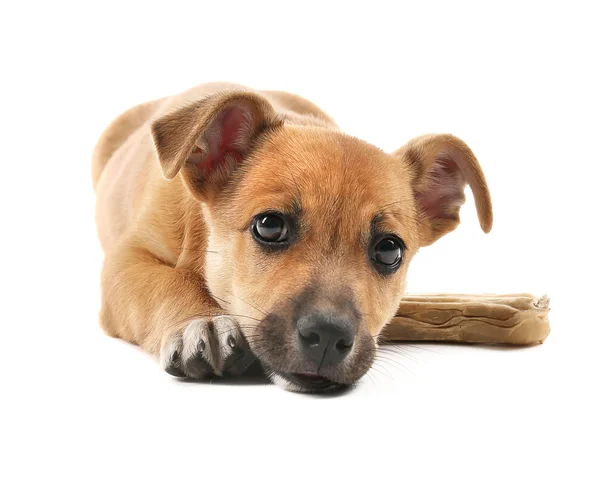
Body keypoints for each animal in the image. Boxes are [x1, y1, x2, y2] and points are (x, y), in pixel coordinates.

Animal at [92, 82, 492, 392]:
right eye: (269, 226)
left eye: (389, 250)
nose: (327, 338)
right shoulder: (125, 262)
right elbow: (165, 283)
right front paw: (202, 321)